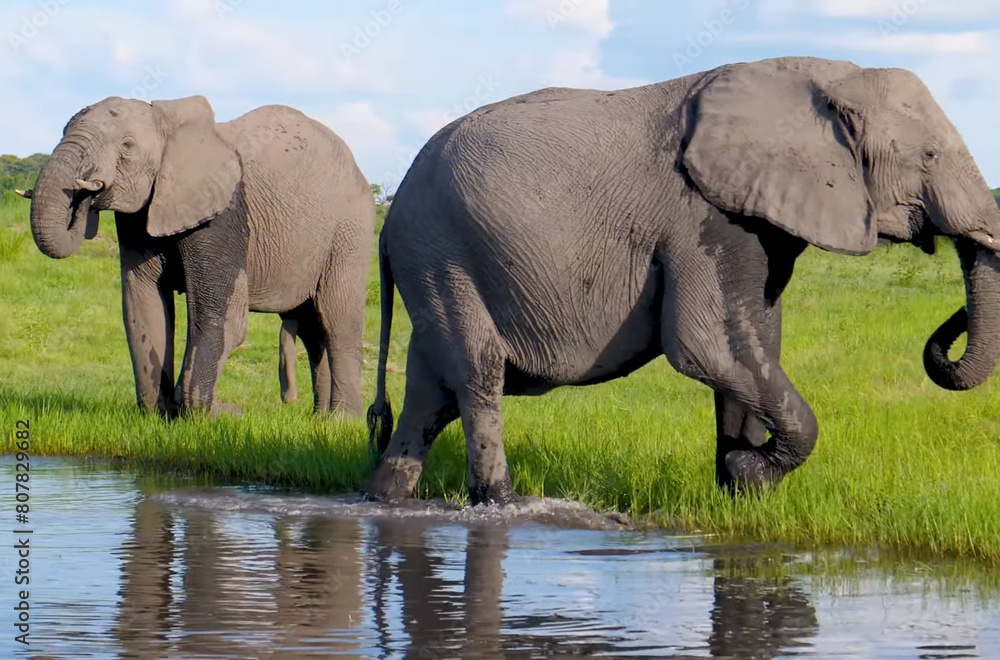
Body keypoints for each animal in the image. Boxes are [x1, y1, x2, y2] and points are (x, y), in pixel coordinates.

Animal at [23, 95, 375, 417]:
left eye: (127, 146)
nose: (85, 195)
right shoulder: (140, 214)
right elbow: (143, 303)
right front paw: (158, 416)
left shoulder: (223, 210)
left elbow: (228, 317)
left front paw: (209, 414)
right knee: (312, 330)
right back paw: (320, 420)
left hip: (350, 230)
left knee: (336, 318)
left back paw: (342, 422)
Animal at [363, 56, 1000, 506]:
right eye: (930, 155)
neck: (823, 74)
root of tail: (388, 221)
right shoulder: (702, 219)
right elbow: (704, 348)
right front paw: (751, 472)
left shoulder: (754, 218)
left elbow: (755, 345)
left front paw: (740, 492)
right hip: (441, 250)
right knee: (478, 372)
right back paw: (499, 502)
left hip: (436, 263)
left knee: (430, 392)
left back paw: (383, 497)